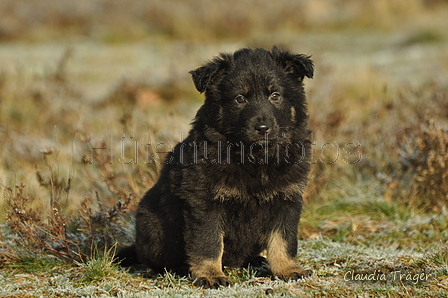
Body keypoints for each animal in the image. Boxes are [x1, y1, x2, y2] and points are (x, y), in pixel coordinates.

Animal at [119, 46, 316, 288]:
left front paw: (288, 269)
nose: (262, 128)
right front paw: (210, 275)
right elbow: (208, 243)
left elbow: (284, 240)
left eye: (275, 95)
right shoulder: (205, 203)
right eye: (240, 98)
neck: (254, 157)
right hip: (153, 226)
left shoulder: (287, 199)